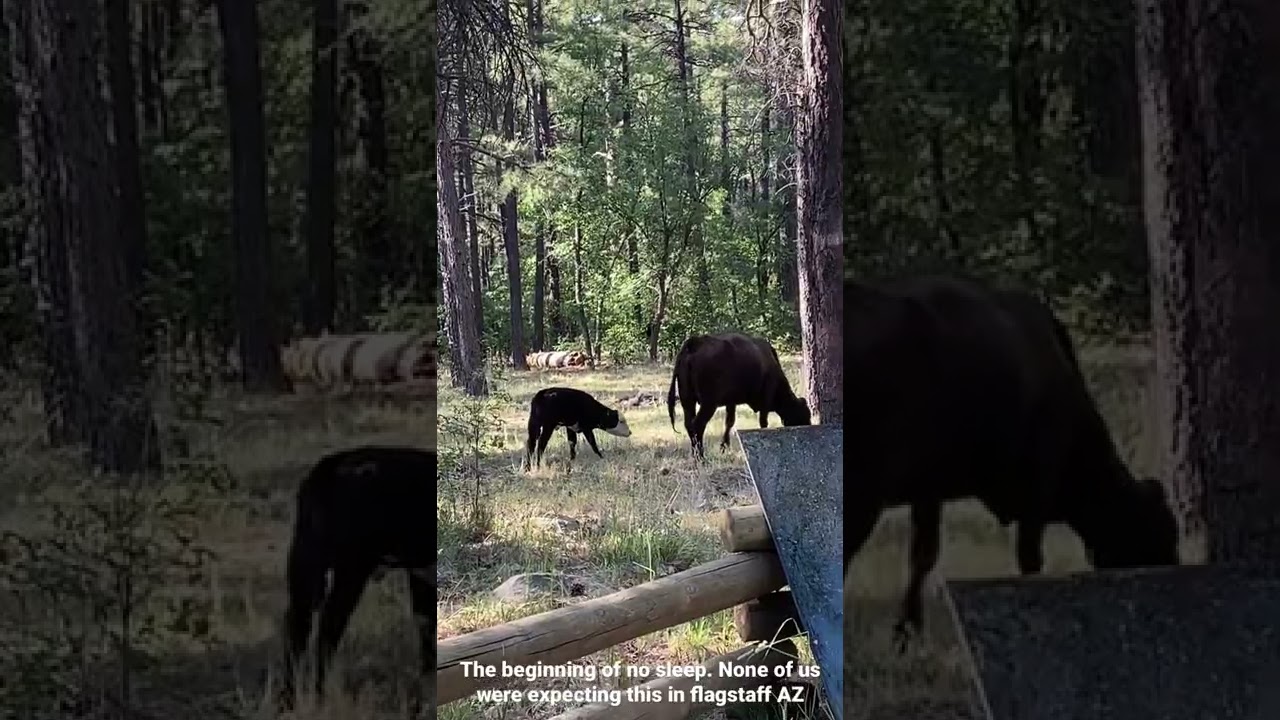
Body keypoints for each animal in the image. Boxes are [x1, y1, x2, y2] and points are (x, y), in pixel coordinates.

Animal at [279, 446, 435, 707]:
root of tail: (331, 465)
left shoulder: (420, 573)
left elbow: (425, 625)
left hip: (307, 563)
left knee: (299, 627)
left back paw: (289, 701)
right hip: (351, 569)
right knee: (327, 629)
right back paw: (320, 697)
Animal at [666, 332, 811, 459]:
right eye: (804, 415)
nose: (809, 426)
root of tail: (695, 342)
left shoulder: (731, 401)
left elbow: (730, 421)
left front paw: (724, 446)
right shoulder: (766, 397)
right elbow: (763, 422)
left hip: (687, 399)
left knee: (689, 425)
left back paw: (695, 454)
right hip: (708, 403)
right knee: (698, 425)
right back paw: (700, 457)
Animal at [844, 275, 1180, 651]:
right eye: (1160, 533)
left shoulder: (930, 488)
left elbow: (923, 556)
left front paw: (907, 632)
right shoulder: (1040, 480)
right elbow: (1029, 557)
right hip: (862, 493)